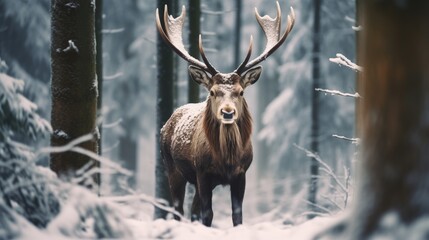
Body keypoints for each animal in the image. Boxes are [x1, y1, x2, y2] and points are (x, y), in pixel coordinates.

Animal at [156, 1, 294, 227]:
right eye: (212, 92)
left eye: (241, 91)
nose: (227, 112)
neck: (227, 160)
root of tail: (167, 123)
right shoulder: (203, 172)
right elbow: (207, 214)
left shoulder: (241, 174)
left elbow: (237, 215)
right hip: (172, 167)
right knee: (178, 209)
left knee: (192, 210)